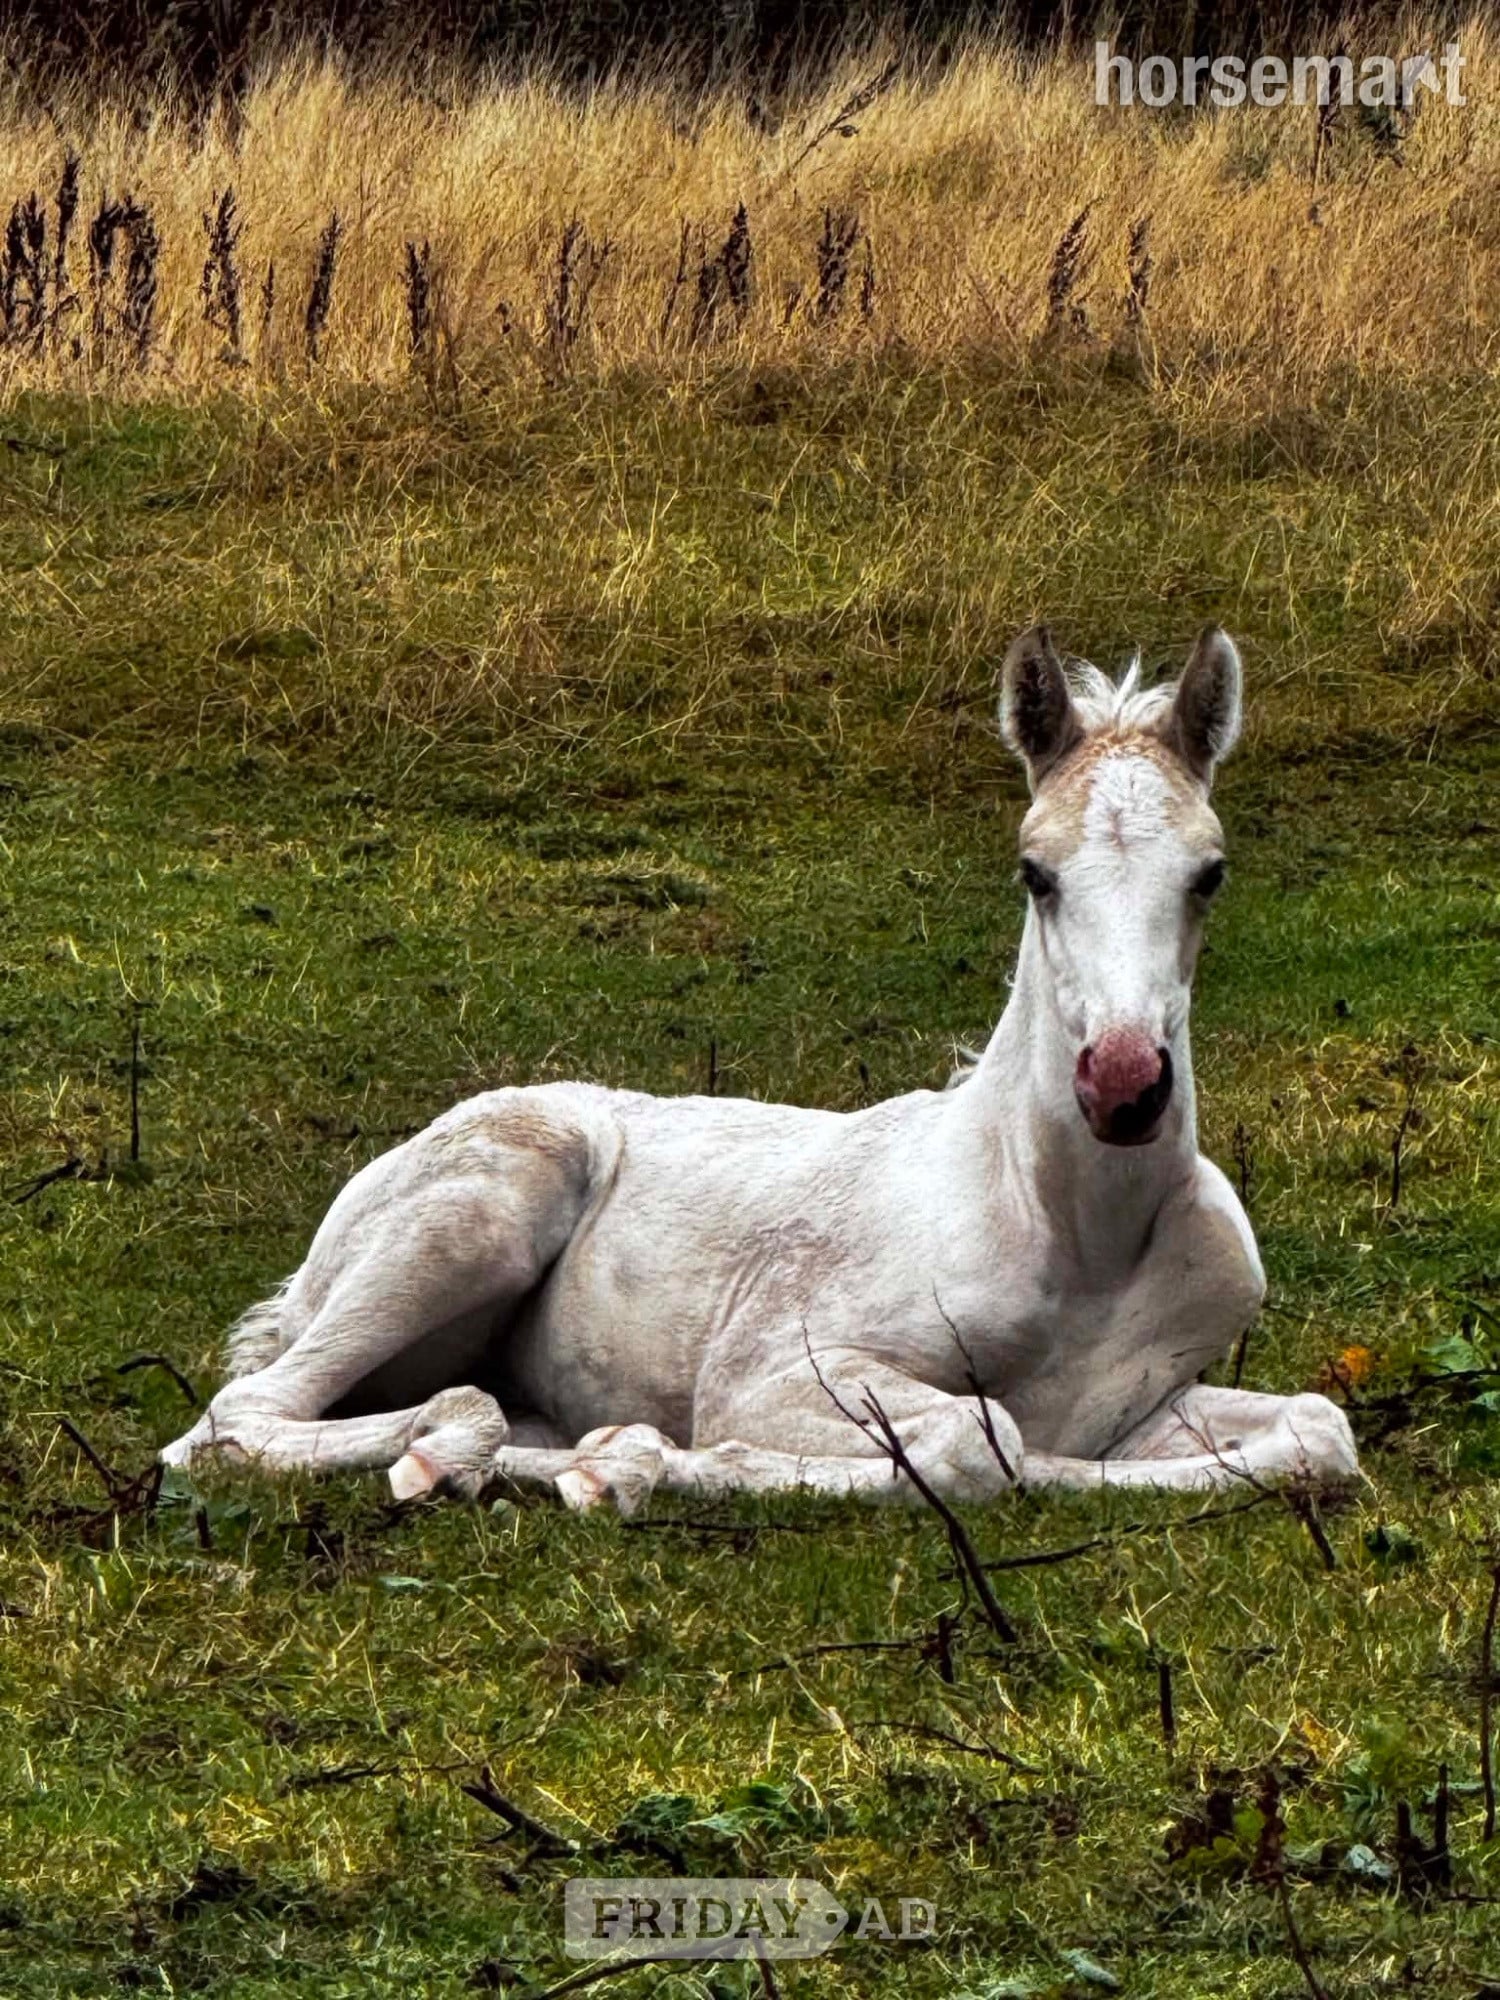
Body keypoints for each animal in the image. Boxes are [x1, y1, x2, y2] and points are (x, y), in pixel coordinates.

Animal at [162, 625, 1359, 1511]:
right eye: (1035, 870)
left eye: (1210, 873)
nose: (1122, 1087)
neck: (1078, 1233)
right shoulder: (772, 1369)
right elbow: (980, 1437)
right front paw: (626, 1464)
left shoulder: (1142, 1405)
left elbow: (1315, 1431)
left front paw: (616, 1456)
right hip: (482, 1209)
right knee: (238, 1418)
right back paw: (461, 1446)